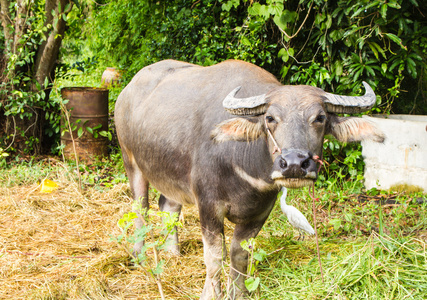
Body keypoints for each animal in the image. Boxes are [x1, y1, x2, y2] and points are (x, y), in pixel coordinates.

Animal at [113, 59, 384, 298]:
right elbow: (215, 257)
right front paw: (211, 293)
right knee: (141, 208)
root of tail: (126, 91)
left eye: (320, 118)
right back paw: (139, 255)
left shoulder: (260, 212)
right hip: (131, 161)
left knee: (168, 206)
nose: (294, 164)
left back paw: (173, 253)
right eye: (270, 118)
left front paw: (239, 293)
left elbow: (240, 255)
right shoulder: (208, 206)